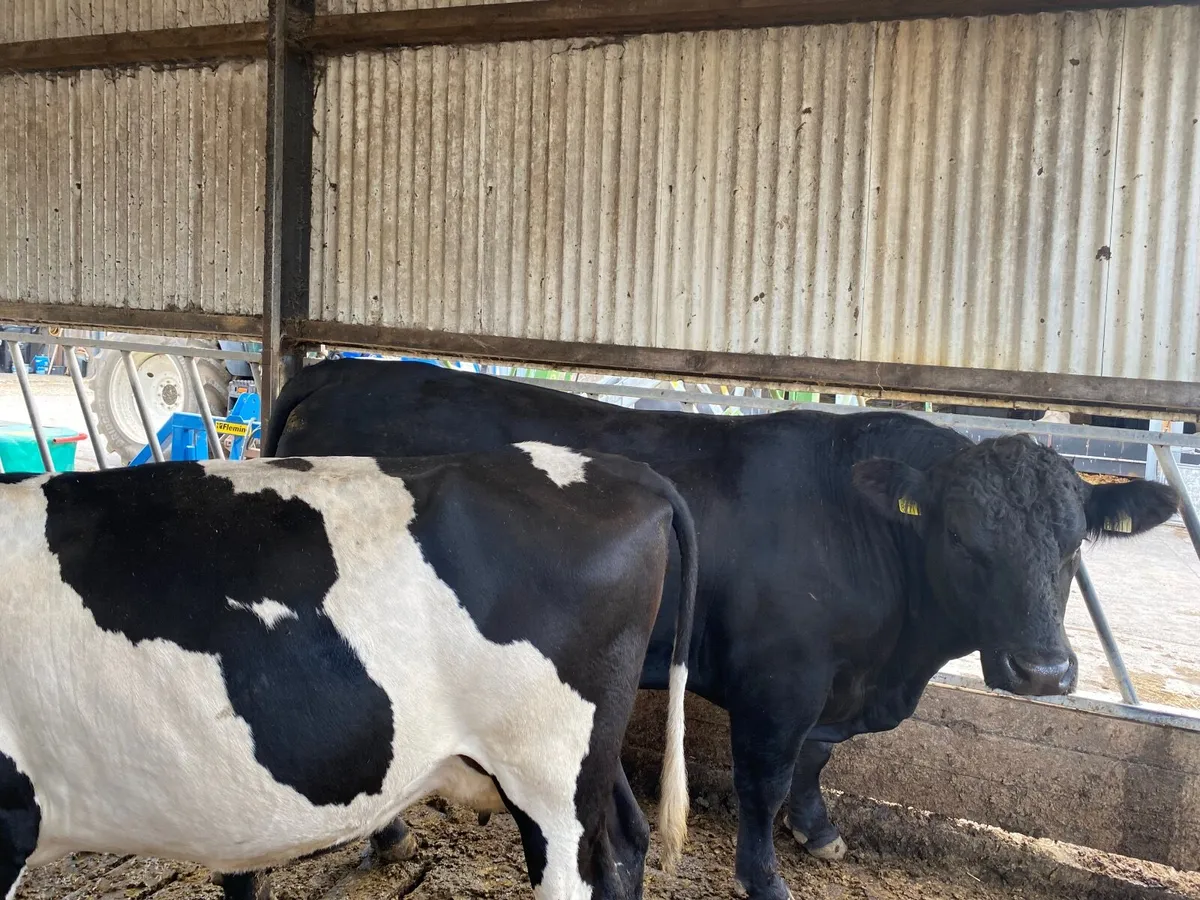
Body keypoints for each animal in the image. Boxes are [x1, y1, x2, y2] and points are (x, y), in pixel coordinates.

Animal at [262, 359, 1181, 900]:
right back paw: (386, 833)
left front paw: (820, 832)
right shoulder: (780, 683)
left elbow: (816, 760)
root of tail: (344, 368)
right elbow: (764, 780)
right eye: (961, 537)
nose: (1043, 673)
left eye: (1074, 543)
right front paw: (765, 876)